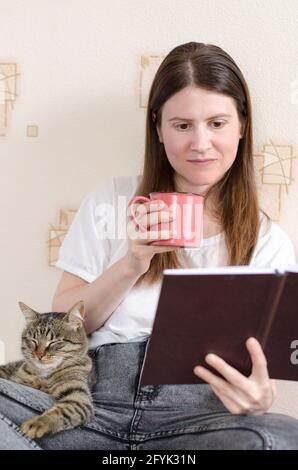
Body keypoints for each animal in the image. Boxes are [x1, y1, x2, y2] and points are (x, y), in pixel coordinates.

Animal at [0, 302, 94, 440]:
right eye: (33, 340)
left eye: (54, 342)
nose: (39, 355)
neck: (45, 374)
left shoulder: (80, 398)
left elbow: (63, 410)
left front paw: (37, 423)